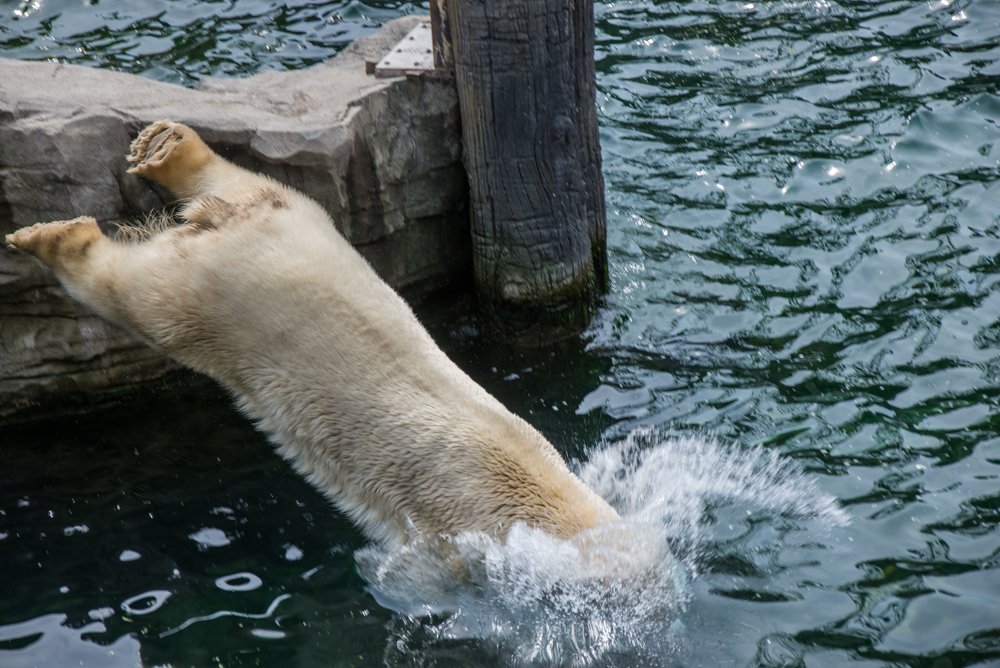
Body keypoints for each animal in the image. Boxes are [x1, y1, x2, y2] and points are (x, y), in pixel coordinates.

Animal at [5, 120, 616, 548]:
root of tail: (222, 227)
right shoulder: (455, 525)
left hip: (297, 219)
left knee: (242, 181)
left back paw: (167, 146)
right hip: (209, 302)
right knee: (131, 294)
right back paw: (54, 238)